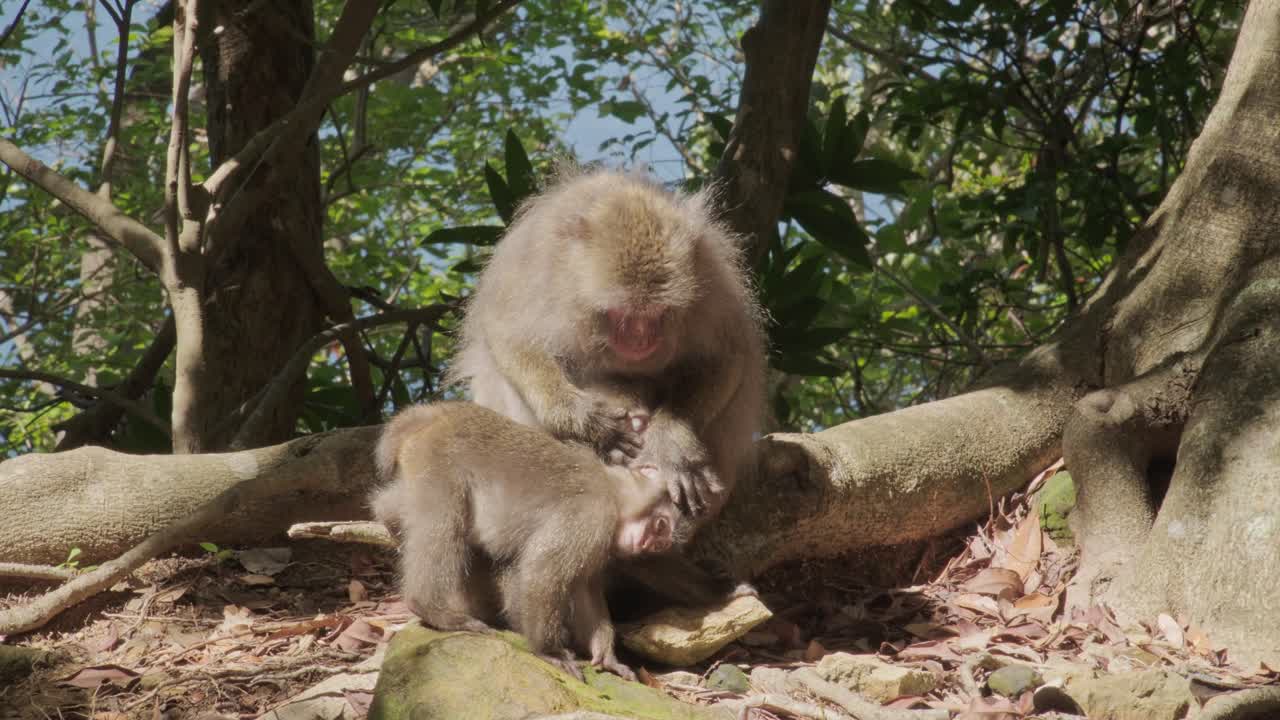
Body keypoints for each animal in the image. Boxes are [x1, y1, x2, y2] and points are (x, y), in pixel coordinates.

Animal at [370, 400, 677, 681]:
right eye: (661, 526)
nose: (655, 545)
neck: (613, 490)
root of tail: (437, 414)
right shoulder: (590, 516)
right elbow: (543, 572)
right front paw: (549, 651)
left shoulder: (598, 541)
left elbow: (583, 587)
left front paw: (606, 655)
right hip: (439, 457)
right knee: (443, 523)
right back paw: (429, 607)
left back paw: (389, 519)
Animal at [448, 166, 767, 551]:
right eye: (621, 315)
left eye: (658, 314)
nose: (641, 339)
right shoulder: (536, 269)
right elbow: (508, 336)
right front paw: (581, 420)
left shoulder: (711, 284)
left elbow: (726, 357)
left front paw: (670, 439)